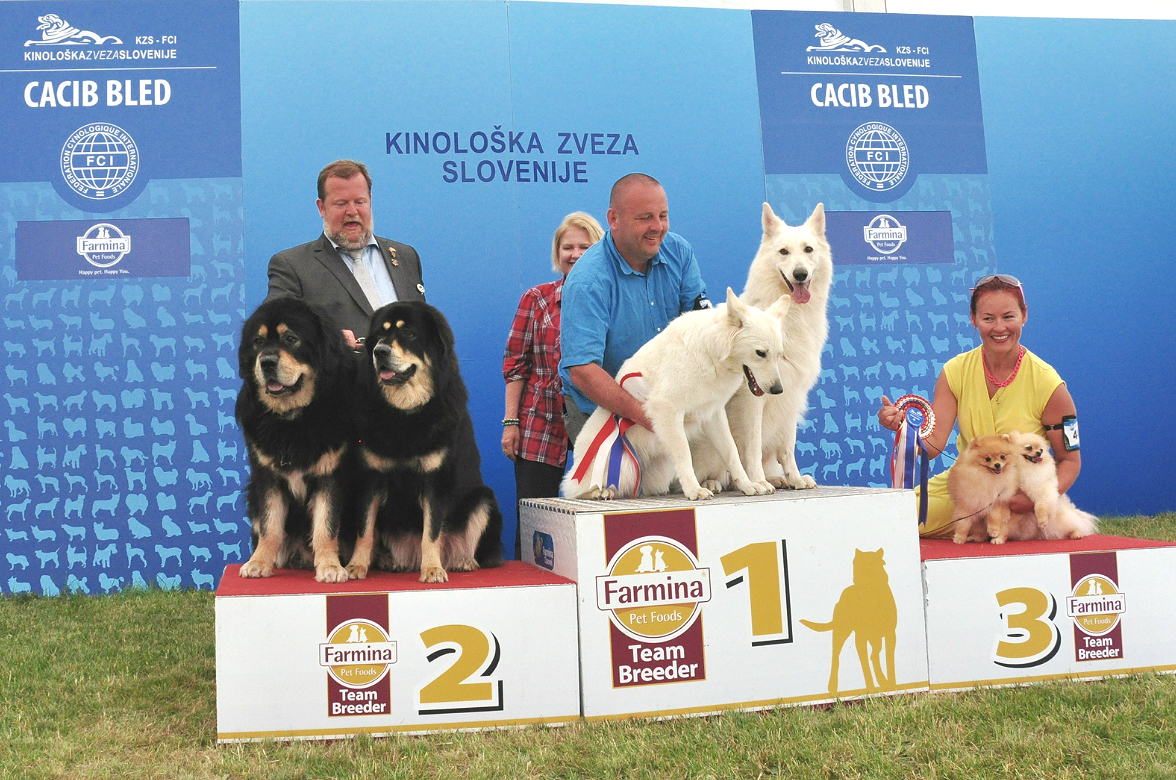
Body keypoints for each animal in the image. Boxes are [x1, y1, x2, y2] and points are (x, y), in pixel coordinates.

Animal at [235, 298, 359, 582]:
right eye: (258, 342)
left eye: (291, 339)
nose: (267, 362)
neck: (293, 419)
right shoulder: (267, 475)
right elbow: (269, 524)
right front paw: (259, 562)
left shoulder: (331, 474)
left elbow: (326, 525)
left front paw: (330, 566)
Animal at [355, 301, 503, 583]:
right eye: (379, 334)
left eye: (408, 333)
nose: (379, 351)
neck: (405, 413)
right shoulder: (372, 477)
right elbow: (364, 529)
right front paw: (356, 565)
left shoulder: (435, 479)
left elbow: (431, 532)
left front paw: (433, 569)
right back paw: (391, 560)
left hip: (483, 499)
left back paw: (463, 561)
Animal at [562, 288, 788, 501]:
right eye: (761, 353)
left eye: (779, 355)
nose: (778, 390)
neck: (709, 353)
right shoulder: (668, 411)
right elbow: (684, 455)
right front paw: (694, 490)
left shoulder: (713, 415)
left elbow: (731, 451)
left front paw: (748, 485)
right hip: (623, 465)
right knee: (572, 490)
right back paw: (599, 492)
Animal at [698, 203, 831, 492]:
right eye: (783, 252)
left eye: (808, 249)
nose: (800, 274)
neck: (790, 317)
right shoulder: (753, 399)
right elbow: (753, 445)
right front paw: (757, 480)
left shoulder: (791, 394)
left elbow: (788, 447)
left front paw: (794, 477)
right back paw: (716, 481)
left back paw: (776, 477)